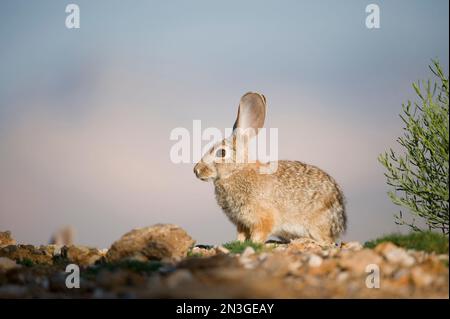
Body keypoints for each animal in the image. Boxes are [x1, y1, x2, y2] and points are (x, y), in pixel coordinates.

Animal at [192, 92, 346, 245]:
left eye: (221, 153)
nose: (196, 170)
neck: (236, 170)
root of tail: (340, 222)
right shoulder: (241, 222)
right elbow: (241, 235)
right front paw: (238, 243)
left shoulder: (263, 218)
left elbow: (260, 233)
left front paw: (254, 243)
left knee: (326, 241)